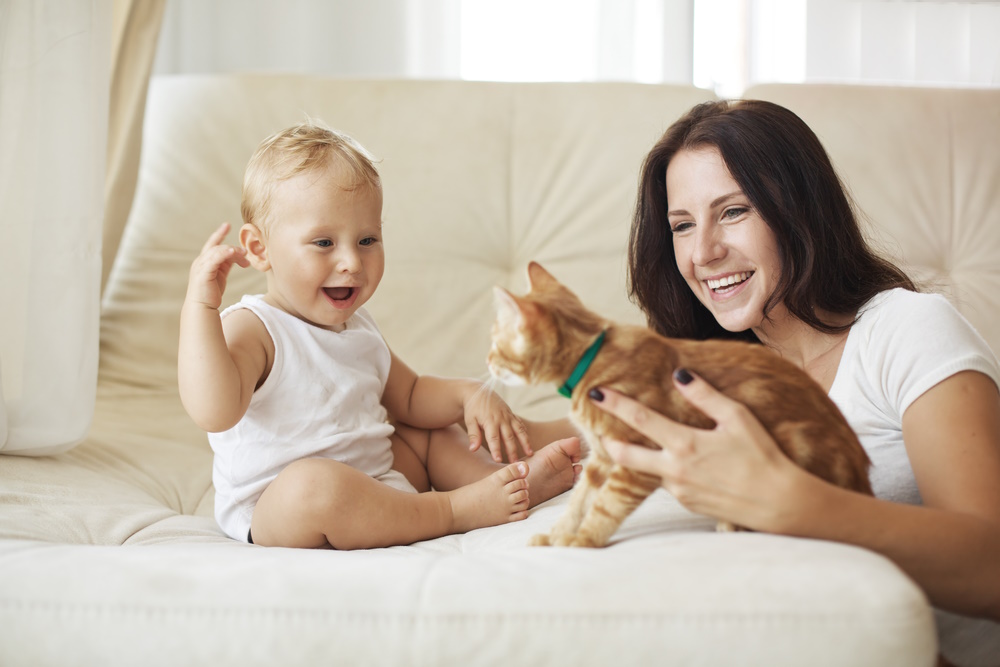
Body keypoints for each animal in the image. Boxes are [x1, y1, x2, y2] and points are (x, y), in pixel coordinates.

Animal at [488, 260, 872, 548]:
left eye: (495, 343)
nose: (487, 362)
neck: (592, 358)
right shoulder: (601, 457)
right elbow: (579, 498)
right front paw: (556, 534)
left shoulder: (640, 456)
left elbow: (606, 505)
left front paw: (584, 540)